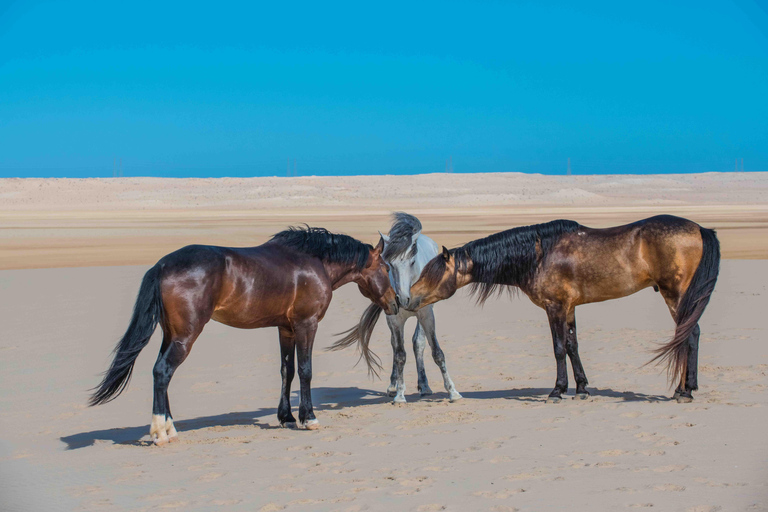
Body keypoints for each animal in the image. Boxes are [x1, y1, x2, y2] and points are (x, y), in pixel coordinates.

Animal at [89, 227, 398, 445]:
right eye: (386, 268)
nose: (396, 302)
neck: (314, 263)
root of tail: (162, 265)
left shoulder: (285, 328)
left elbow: (287, 371)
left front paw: (286, 417)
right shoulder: (306, 325)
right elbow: (305, 370)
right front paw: (308, 418)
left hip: (170, 335)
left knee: (160, 374)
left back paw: (171, 428)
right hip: (184, 337)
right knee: (162, 372)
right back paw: (160, 432)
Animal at [330, 213, 461, 403]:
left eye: (412, 262)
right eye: (390, 265)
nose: (403, 299)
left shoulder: (427, 315)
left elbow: (436, 352)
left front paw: (453, 391)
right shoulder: (395, 319)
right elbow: (400, 355)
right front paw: (399, 394)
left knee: (418, 343)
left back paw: (424, 386)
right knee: (395, 345)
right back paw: (394, 386)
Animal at [406, 215, 720, 403]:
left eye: (432, 274)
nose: (409, 297)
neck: (538, 255)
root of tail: (699, 229)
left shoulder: (554, 307)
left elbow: (558, 348)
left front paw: (557, 390)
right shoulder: (569, 308)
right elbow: (572, 346)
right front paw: (581, 388)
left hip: (677, 296)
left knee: (689, 334)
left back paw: (684, 391)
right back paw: (685, 388)